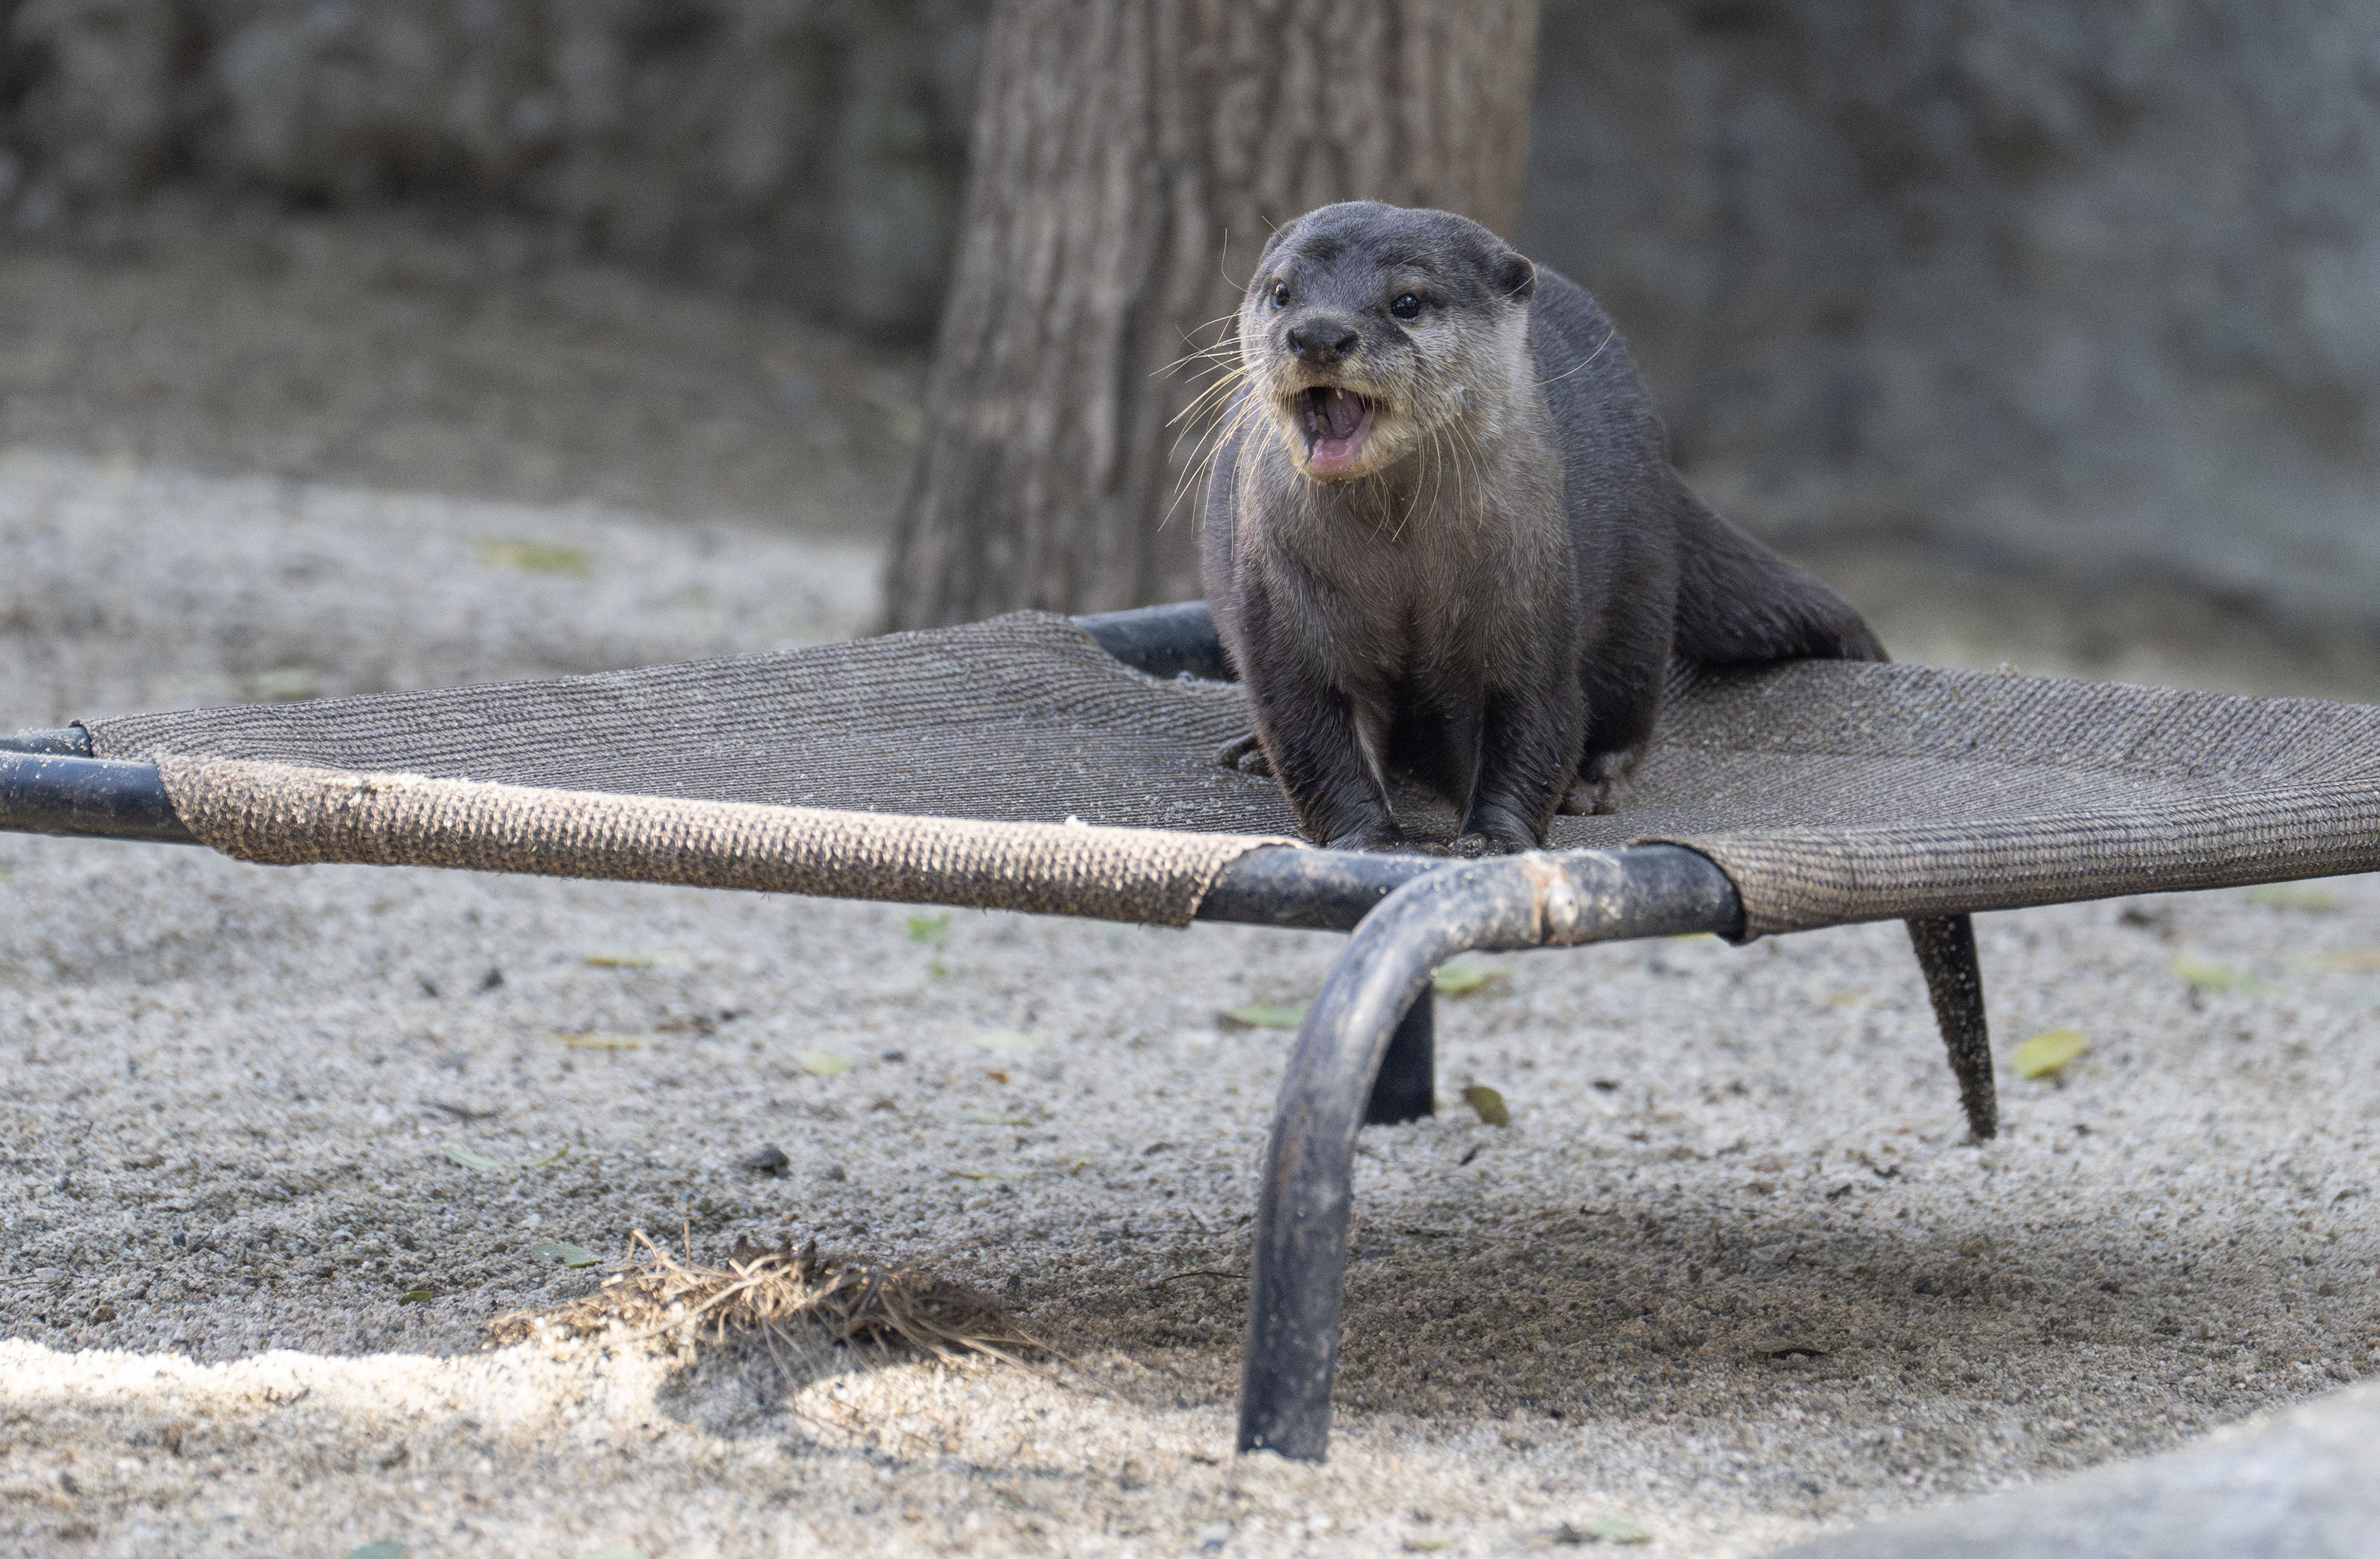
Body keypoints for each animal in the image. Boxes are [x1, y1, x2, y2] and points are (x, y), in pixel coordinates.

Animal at [1199, 201, 1883, 854]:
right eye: (1282, 291)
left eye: (1407, 302)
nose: (1318, 333)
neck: (1405, 562)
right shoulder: (1286, 601)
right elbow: (1312, 734)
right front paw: (1369, 836)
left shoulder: (1532, 592)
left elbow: (1536, 715)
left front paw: (1496, 837)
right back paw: (1252, 752)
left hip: (1640, 583)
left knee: (1628, 693)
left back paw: (1595, 783)